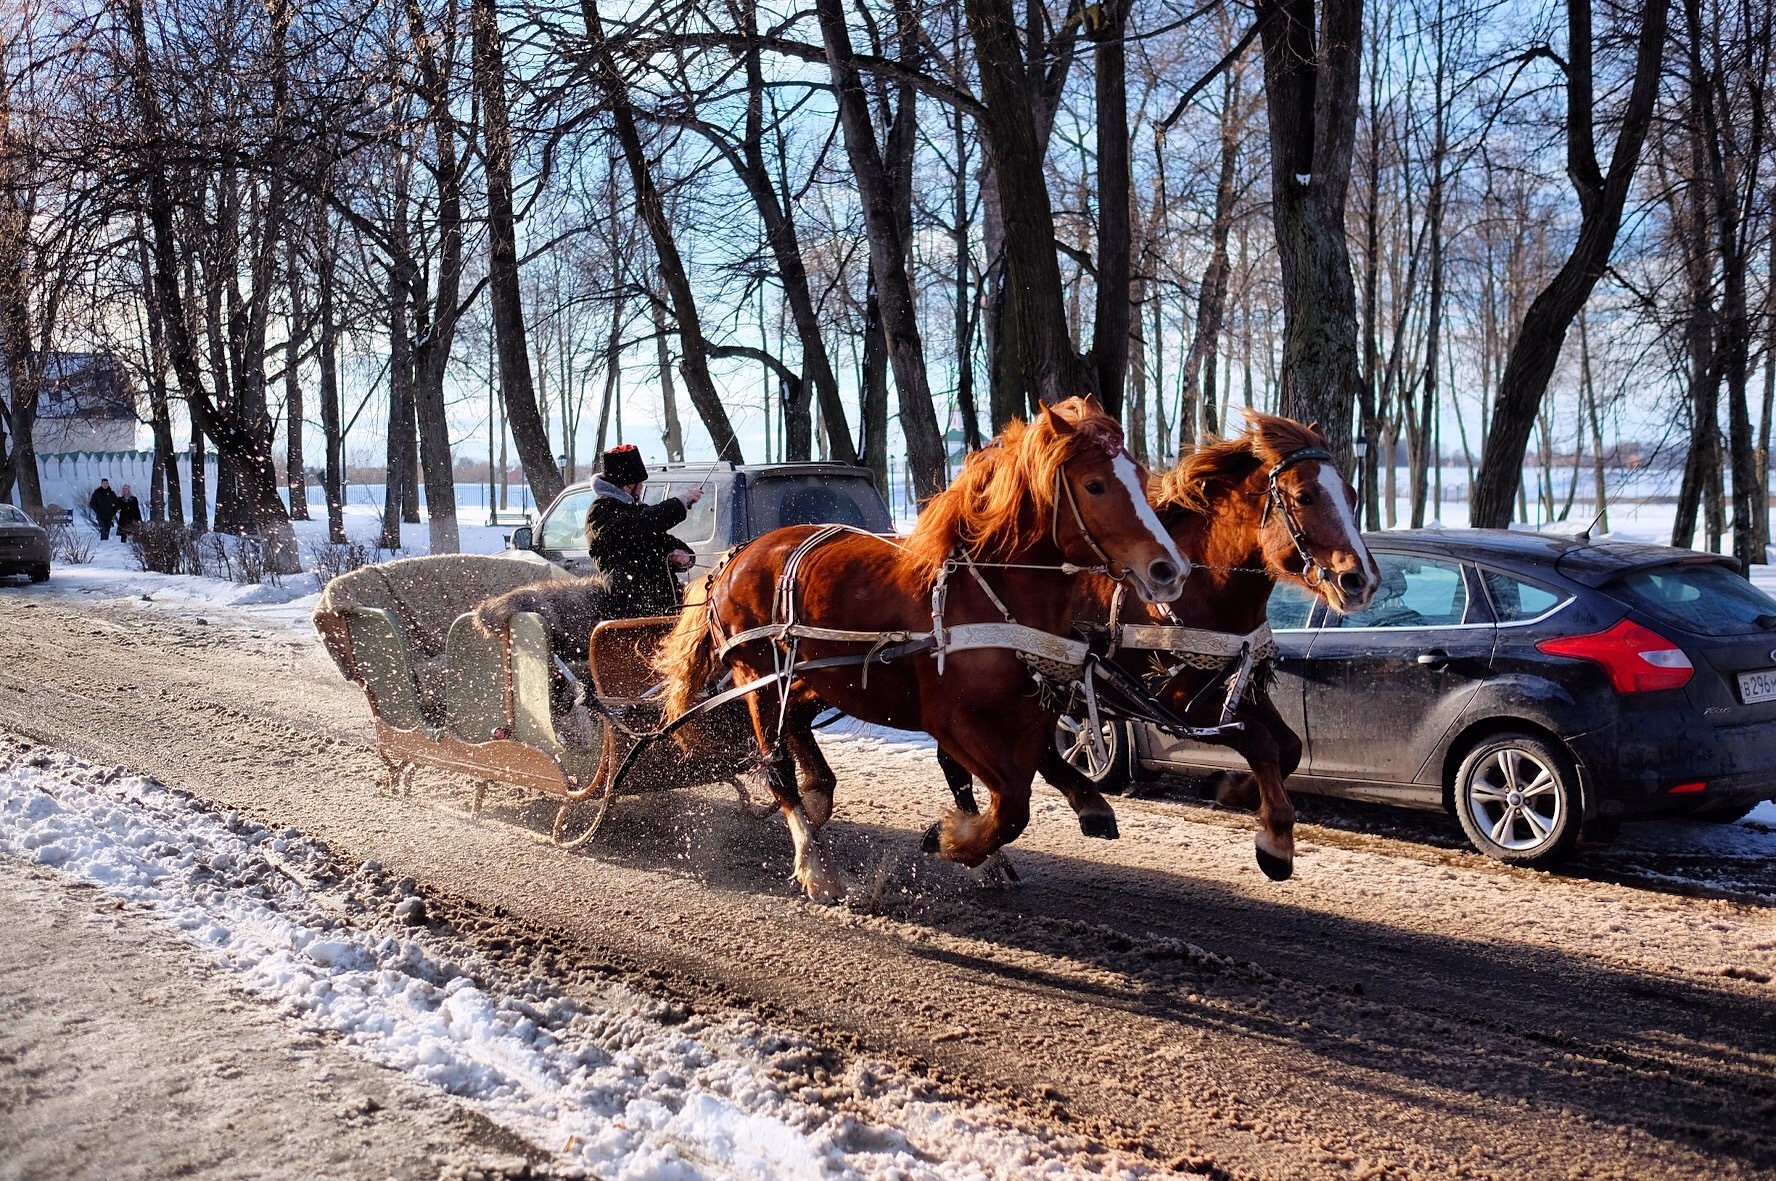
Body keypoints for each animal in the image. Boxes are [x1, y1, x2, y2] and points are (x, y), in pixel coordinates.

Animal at [653, 397, 1179, 902]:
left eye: (1141, 477)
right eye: (1094, 485)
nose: (1169, 569)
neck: (984, 594)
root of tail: (736, 556)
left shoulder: (1031, 712)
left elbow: (1025, 771)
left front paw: (1076, 808)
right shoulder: (952, 721)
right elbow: (1010, 802)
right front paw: (954, 841)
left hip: (821, 674)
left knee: (798, 722)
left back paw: (818, 793)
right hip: (757, 675)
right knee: (777, 766)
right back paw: (815, 866)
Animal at [937, 410, 1378, 880]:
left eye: (1351, 495)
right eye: (1304, 496)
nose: (1361, 580)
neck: (1205, 586)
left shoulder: (1237, 689)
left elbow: (1290, 747)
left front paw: (1230, 788)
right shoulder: (1178, 702)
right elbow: (1260, 741)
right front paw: (1275, 842)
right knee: (965, 763)